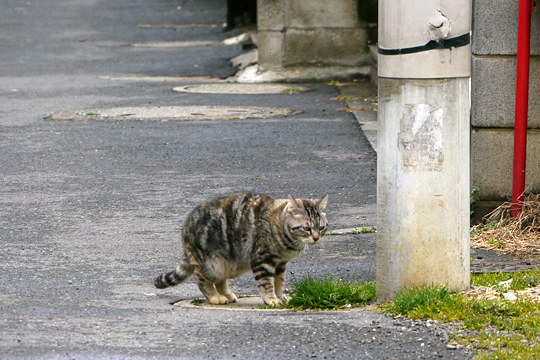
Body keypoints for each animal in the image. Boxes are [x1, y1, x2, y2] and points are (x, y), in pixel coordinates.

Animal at [154, 193, 326, 306]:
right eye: (307, 228)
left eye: (322, 227)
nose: (316, 238)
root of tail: (185, 227)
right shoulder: (263, 260)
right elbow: (267, 283)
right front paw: (271, 299)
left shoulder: (280, 263)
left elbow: (279, 282)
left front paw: (279, 296)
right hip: (211, 263)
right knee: (201, 278)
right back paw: (214, 297)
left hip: (226, 264)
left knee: (220, 281)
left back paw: (227, 294)